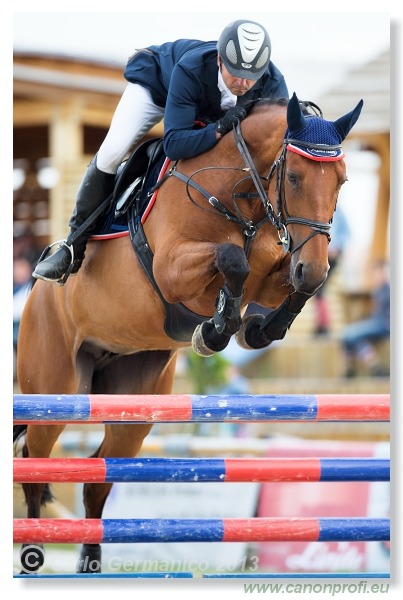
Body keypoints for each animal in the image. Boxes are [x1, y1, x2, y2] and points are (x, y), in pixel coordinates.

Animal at [14, 92, 364, 572]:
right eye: (293, 176)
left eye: (342, 181)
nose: (309, 264)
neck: (243, 196)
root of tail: (34, 297)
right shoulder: (173, 268)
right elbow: (233, 258)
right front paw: (215, 331)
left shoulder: (275, 273)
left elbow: (291, 286)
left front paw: (255, 329)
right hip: (55, 392)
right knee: (35, 463)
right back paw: (33, 553)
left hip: (134, 405)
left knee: (97, 477)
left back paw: (89, 564)